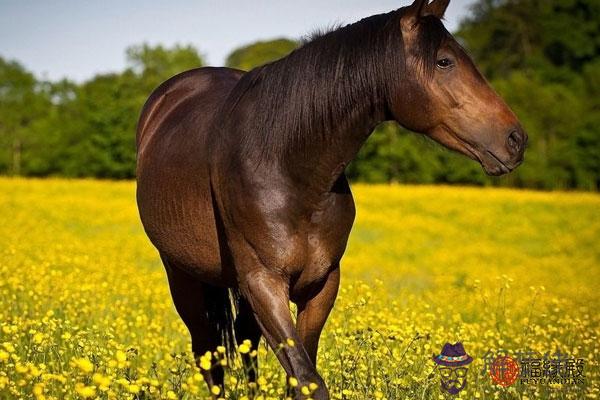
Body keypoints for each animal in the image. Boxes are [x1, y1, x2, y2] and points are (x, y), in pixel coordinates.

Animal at [135, 1, 524, 398]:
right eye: (444, 61)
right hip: (181, 273)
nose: (516, 139)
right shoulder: (263, 282)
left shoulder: (321, 283)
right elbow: (308, 378)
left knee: (244, 344)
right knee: (207, 350)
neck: (288, 167)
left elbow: (300, 373)